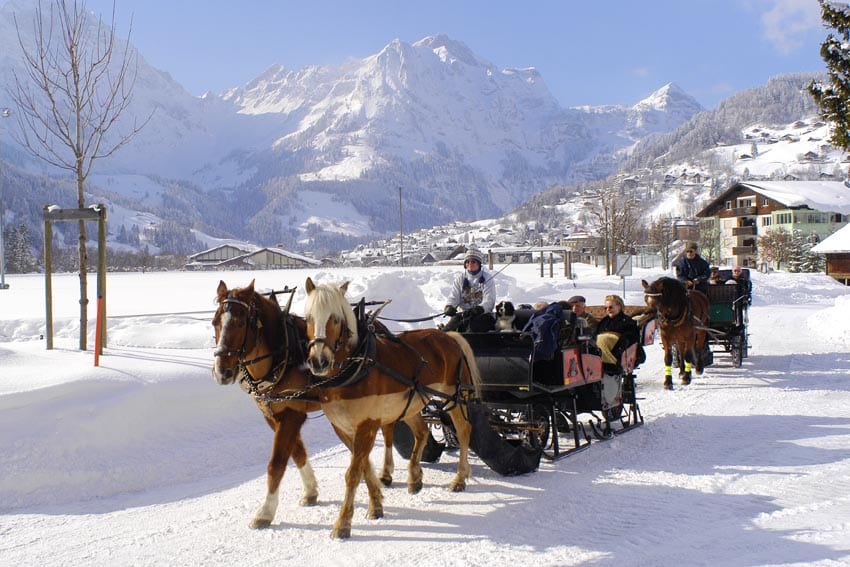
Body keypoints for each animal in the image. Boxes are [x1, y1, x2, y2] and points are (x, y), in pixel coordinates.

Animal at [304, 278, 476, 540]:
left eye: (335, 318)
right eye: (308, 317)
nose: (318, 361)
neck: (355, 366)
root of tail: (448, 336)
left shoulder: (366, 424)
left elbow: (353, 473)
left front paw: (342, 523)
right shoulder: (342, 428)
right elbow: (364, 467)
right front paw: (376, 506)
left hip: (455, 398)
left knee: (465, 431)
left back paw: (460, 478)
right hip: (414, 403)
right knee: (422, 432)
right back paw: (414, 478)